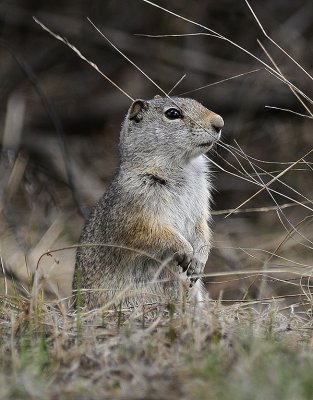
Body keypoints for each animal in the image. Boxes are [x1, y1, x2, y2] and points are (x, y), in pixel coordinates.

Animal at [74, 95, 223, 308]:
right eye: (172, 113)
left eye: (199, 102)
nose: (220, 122)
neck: (183, 167)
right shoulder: (137, 209)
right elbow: (152, 232)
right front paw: (186, 250)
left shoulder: (200, 205)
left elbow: (202, 229)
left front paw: (198, 262)